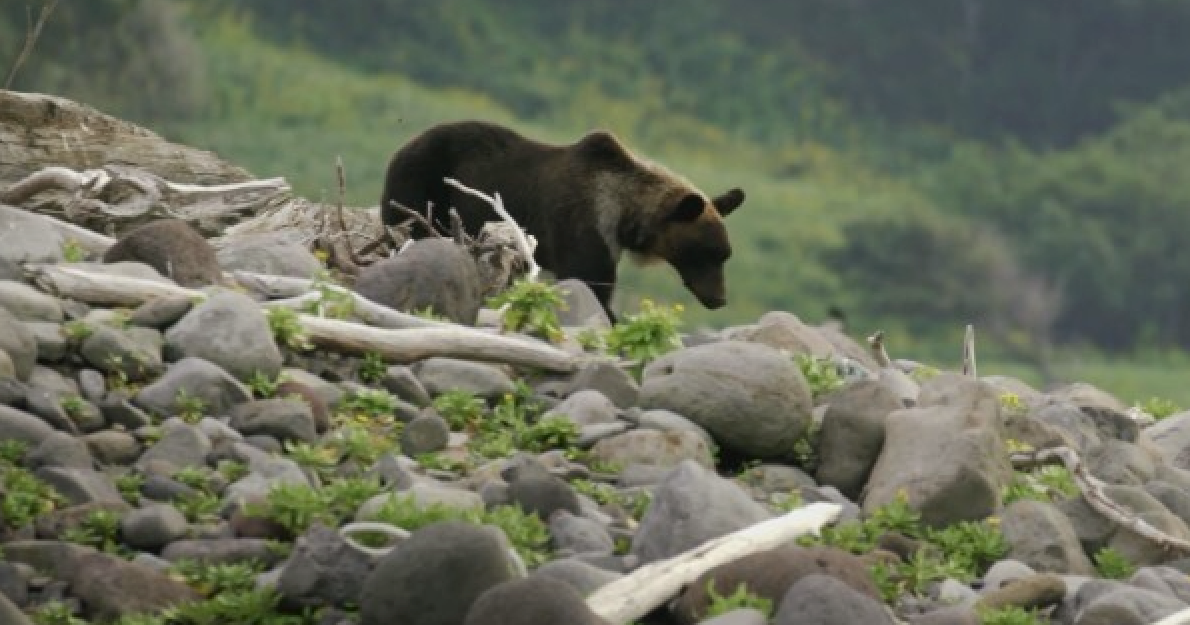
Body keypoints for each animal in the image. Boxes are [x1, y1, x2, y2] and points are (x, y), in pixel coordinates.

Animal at [378, 120, 747, 321]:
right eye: (705, 252)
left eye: (724, 254)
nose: (719, 299)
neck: (625, 218)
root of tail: (404, 145)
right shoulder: (585, 225)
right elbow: (590, 283)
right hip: (421, 184)